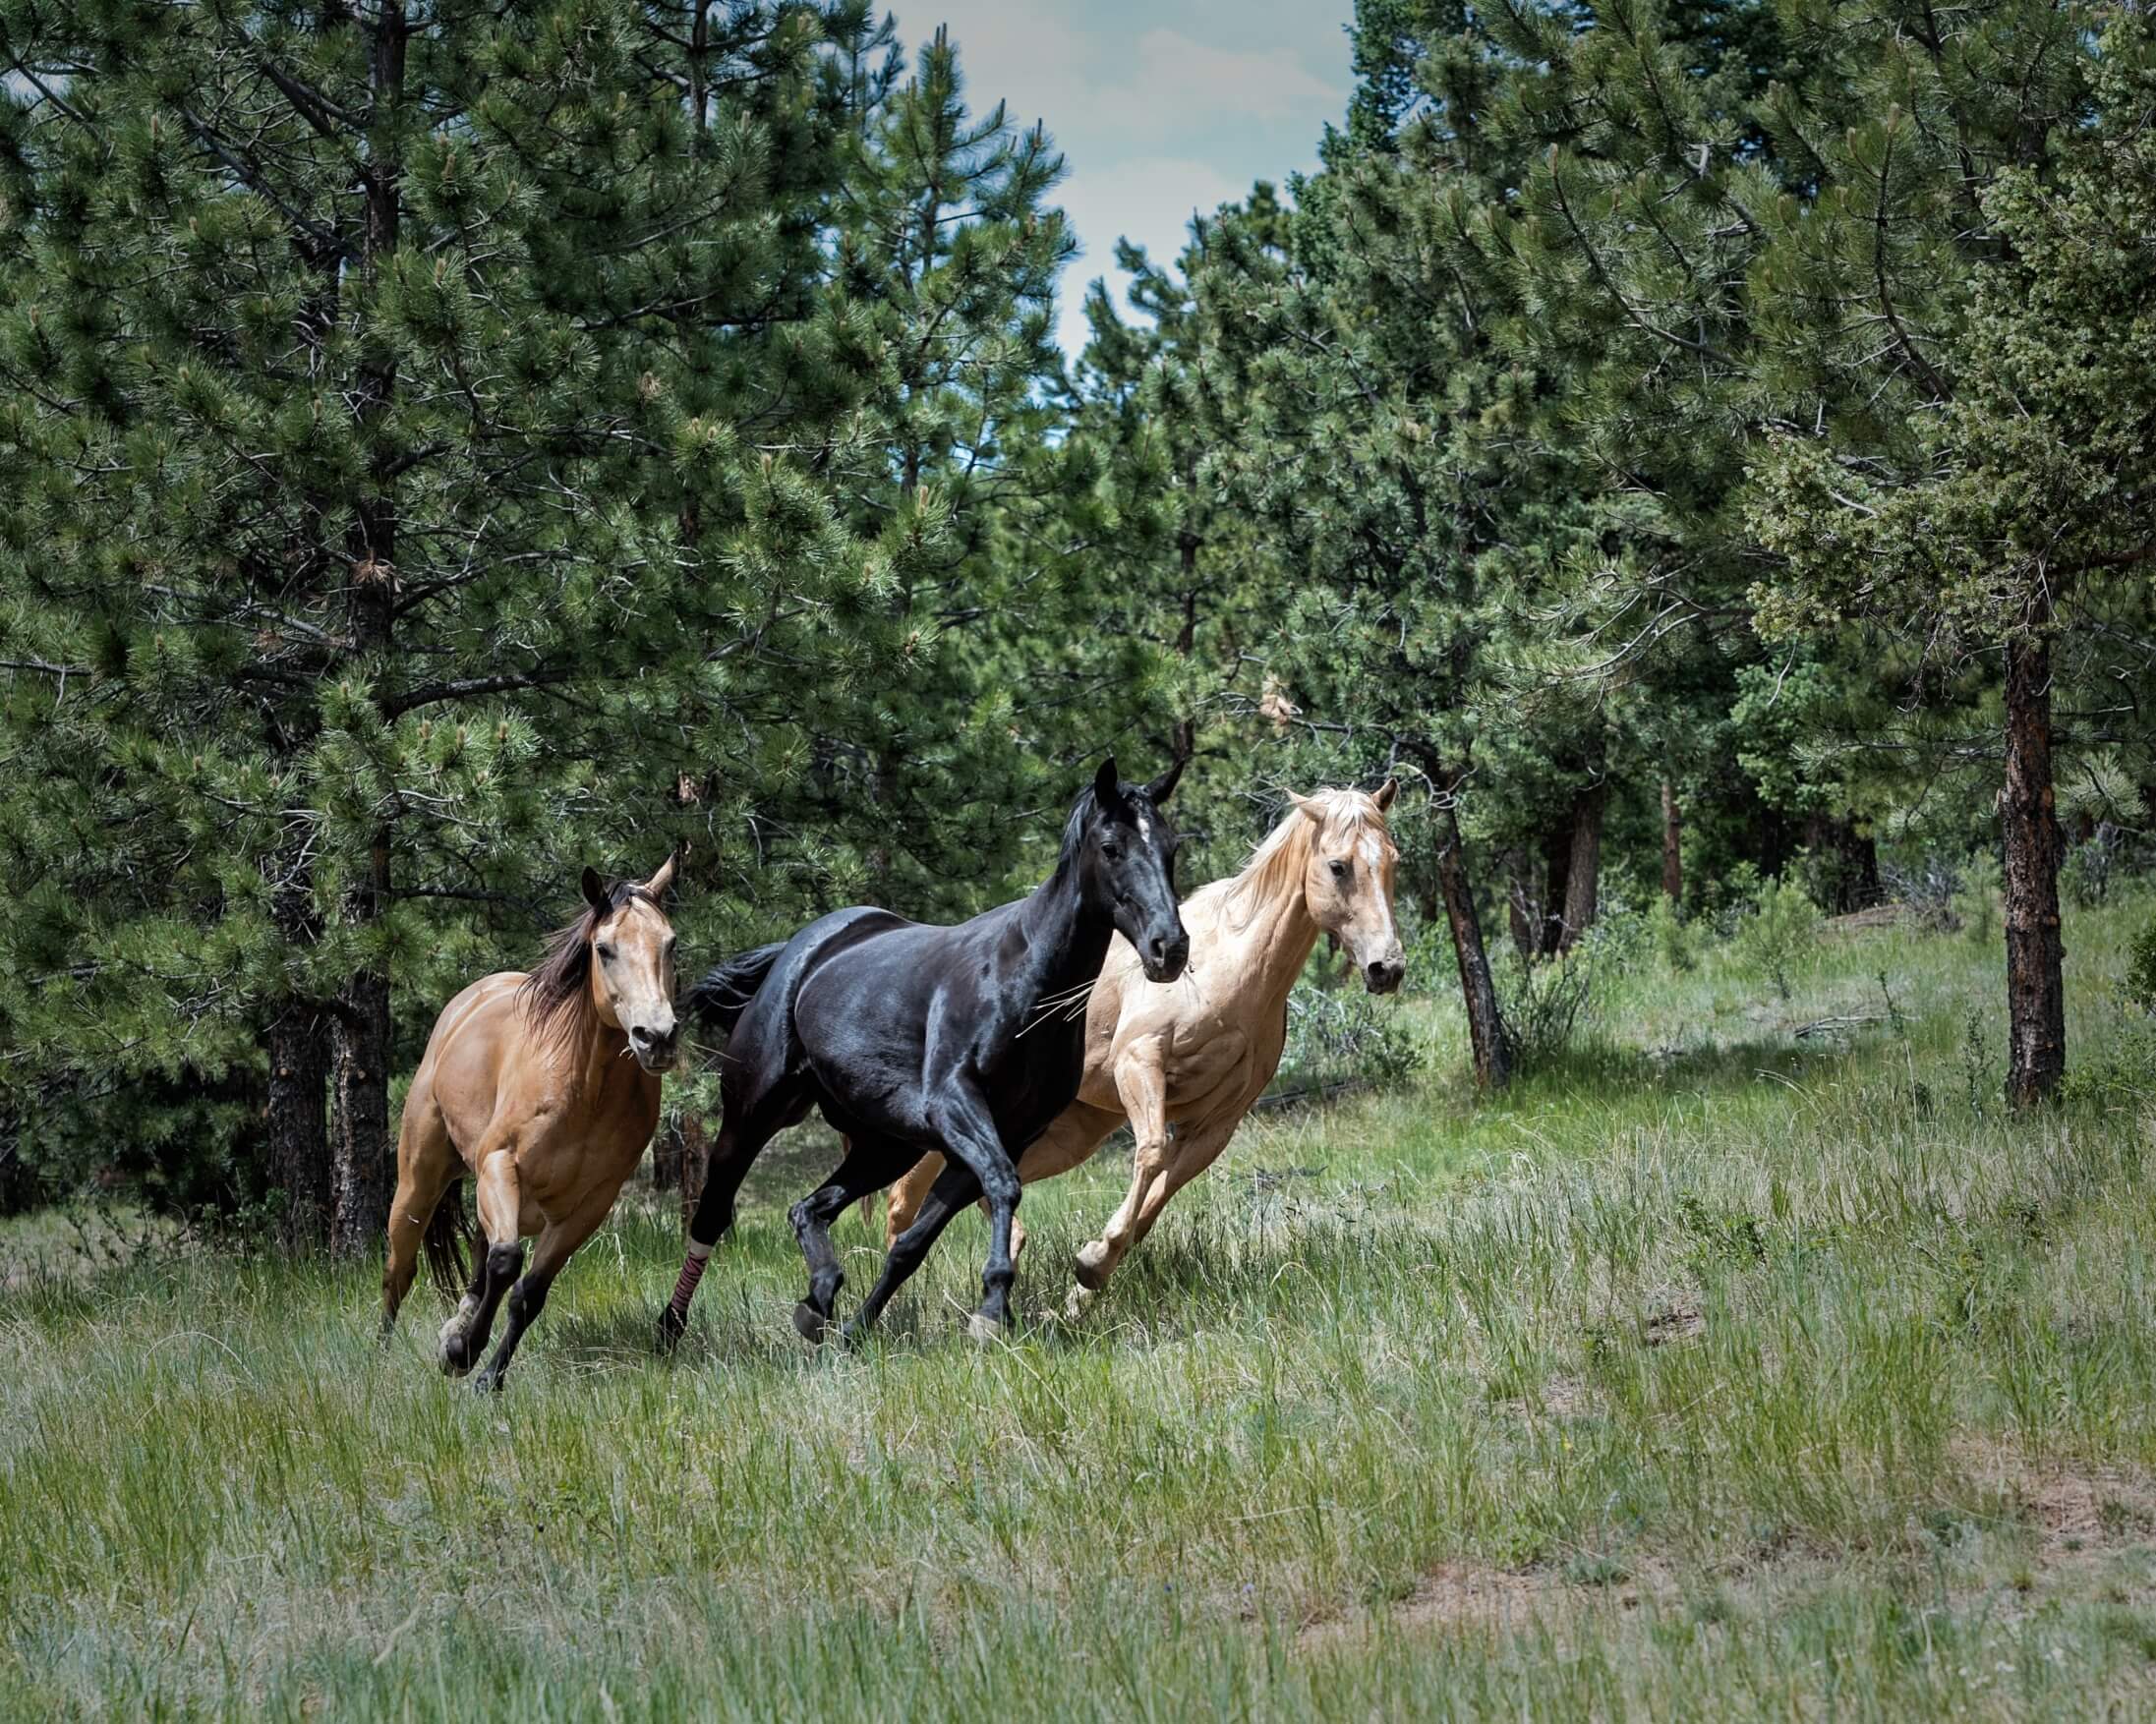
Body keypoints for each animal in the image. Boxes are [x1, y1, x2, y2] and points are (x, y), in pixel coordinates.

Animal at [381, 853, 680, 1396]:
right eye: (604, 949)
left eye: (670, 944)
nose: (657, 1037)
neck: (584, 1089)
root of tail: (465, 1003)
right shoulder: (501, 1165)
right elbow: (505, 1262)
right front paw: (463, 1352)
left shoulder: (589, 1207)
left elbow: (529, 1292)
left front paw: (484, 1375)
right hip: (419, 1184)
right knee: (400, 1270)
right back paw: (382, 1355)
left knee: (480, 1262)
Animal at [660, 763, 1190, 1345]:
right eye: (1111, 847)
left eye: (1170, 847)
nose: (1169, 947)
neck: (1023, 981)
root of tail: (799, 952)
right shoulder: (956, 1105)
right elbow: (1003, 1184)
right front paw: (991, 1309)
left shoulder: (1000, 1134)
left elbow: (913, 1243)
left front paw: (858, 1330)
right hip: (751, 1115)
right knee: (712, 1215)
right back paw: (670, 1327)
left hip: (886, 1146)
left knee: (808, 1209)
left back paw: (818, 1301)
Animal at [884, 788, 1405, 1301]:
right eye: (1338, 866)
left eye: (1392, 860)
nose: (1387, 967)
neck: (1230, 967)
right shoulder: (1140, 1064)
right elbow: (1151, 1152)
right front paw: (1092, 1264)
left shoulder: (1217, 1122)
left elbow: (1156, 1201)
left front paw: (1085, 1285)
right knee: (906, 1194)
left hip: (1071, 1132)